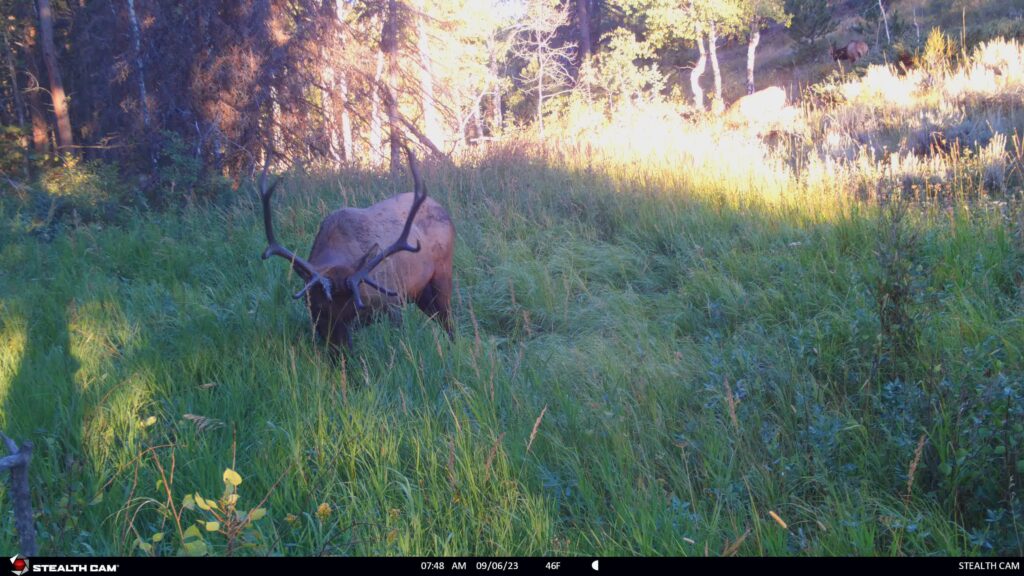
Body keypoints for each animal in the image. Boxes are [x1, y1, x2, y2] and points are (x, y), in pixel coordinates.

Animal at [258, 146, 455, 349]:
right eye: (320, 309)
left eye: (354, 310)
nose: (341, 348)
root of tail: (439, 206)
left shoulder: (393, 302)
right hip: (420, 293)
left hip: (442, 273)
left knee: (448, 321)